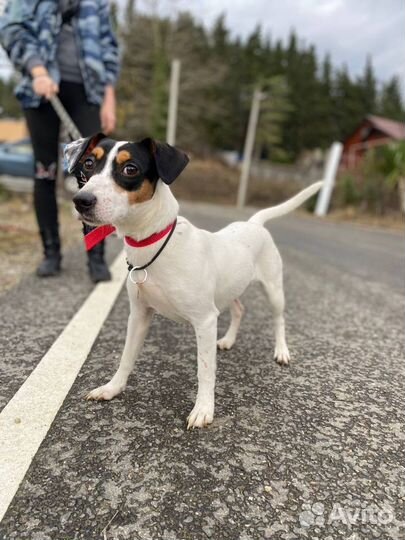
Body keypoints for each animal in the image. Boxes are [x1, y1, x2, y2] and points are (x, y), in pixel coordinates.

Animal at [66, 136, 324, 430]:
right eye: (88, 163)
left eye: (130, 169)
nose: (81, 201)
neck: (153, 241)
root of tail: (254, 223)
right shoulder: (139, 315)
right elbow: (126, 357)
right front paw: (112, 388)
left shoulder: (205, 320)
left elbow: (205, 370)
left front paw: (203, 410)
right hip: (229, 289)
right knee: (239, 309)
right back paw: (228, 340)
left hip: (273, 289)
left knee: (279, 319)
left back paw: (281, 351)